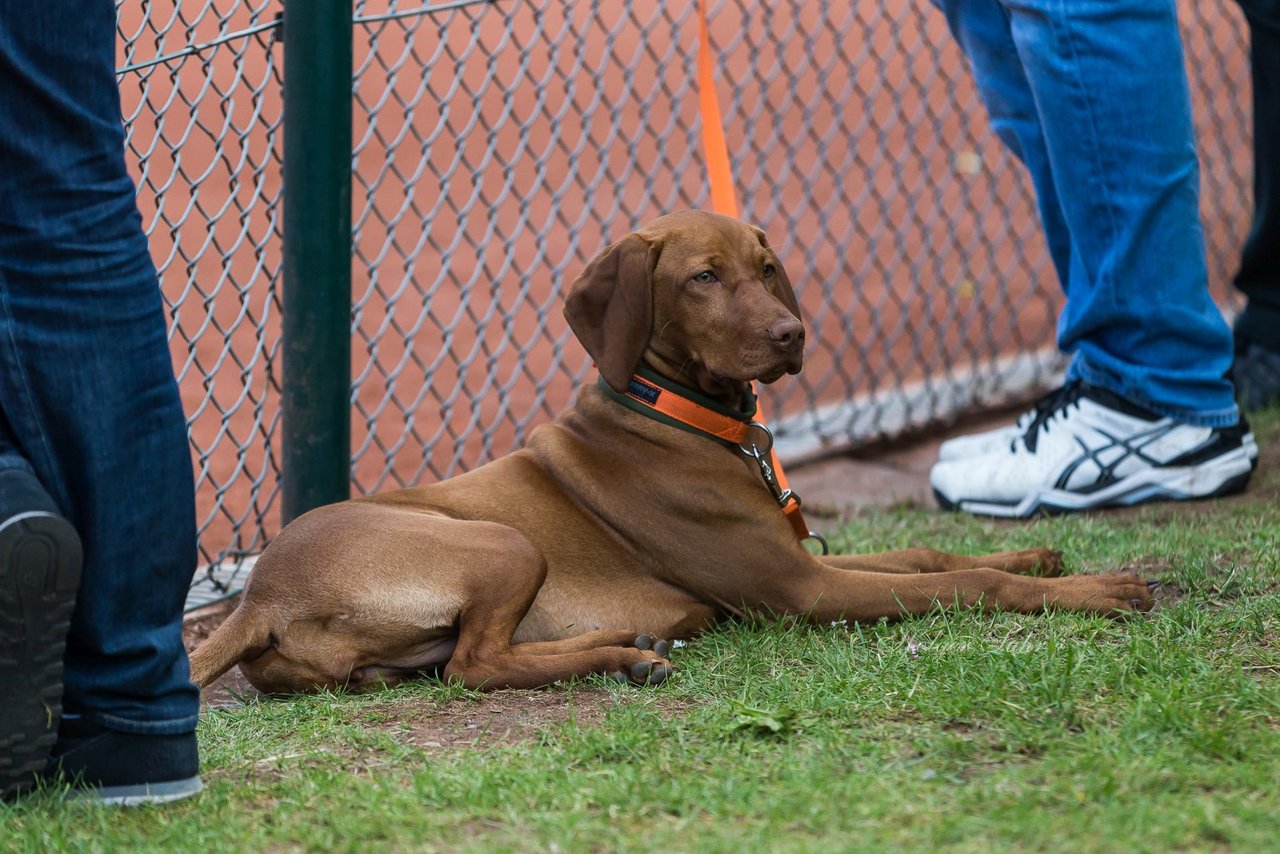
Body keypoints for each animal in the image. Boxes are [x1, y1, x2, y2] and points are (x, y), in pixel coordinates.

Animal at [192, 209, 1162, 696]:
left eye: (767, 268)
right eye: (702, 278)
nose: (791, 335)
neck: (689, 417)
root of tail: (258, 595)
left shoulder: (801, 556)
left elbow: (928, 552)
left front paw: (1037, 554)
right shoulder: (804, 590)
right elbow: (965, 582)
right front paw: (1094, 590)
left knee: (473, 660)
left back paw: (629, 641)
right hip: (501, 542)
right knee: (474, 667)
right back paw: (623, 655)